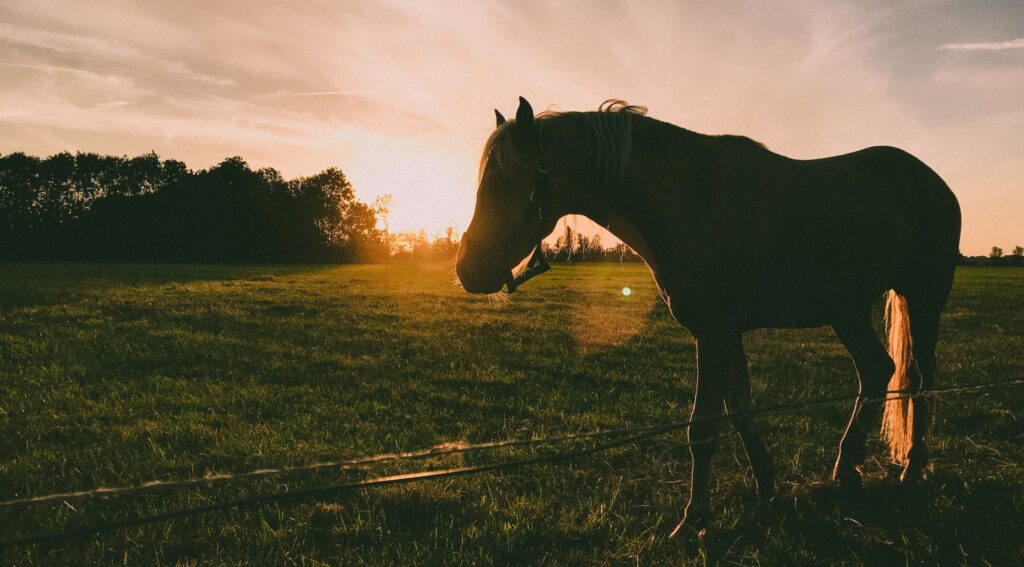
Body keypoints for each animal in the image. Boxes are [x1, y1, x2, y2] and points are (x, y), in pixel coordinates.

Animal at [456, 96, 958, 540]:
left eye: (506, 182)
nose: (467, 269)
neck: (689, 200)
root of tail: (930, 181)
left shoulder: (712, 334)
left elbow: (703, 428)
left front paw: (694, 519)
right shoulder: (725, 335)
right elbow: (741, 412)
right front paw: (767, 488)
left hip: (921, 299)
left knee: (918, 378)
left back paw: (912, 466)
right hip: (847, 310)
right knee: (877, 370)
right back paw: (848, 468)